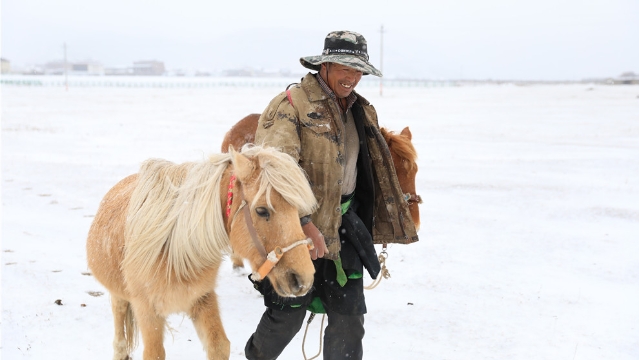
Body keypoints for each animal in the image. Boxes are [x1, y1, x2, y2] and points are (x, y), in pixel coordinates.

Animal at [86, 145, 320, 358]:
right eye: (262, 211)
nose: (304, 279)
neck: (173, 251)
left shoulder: (203, 298)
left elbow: (219, 345)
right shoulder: (147, 310)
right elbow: (154, 353)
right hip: (119, 297)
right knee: (120, 342)